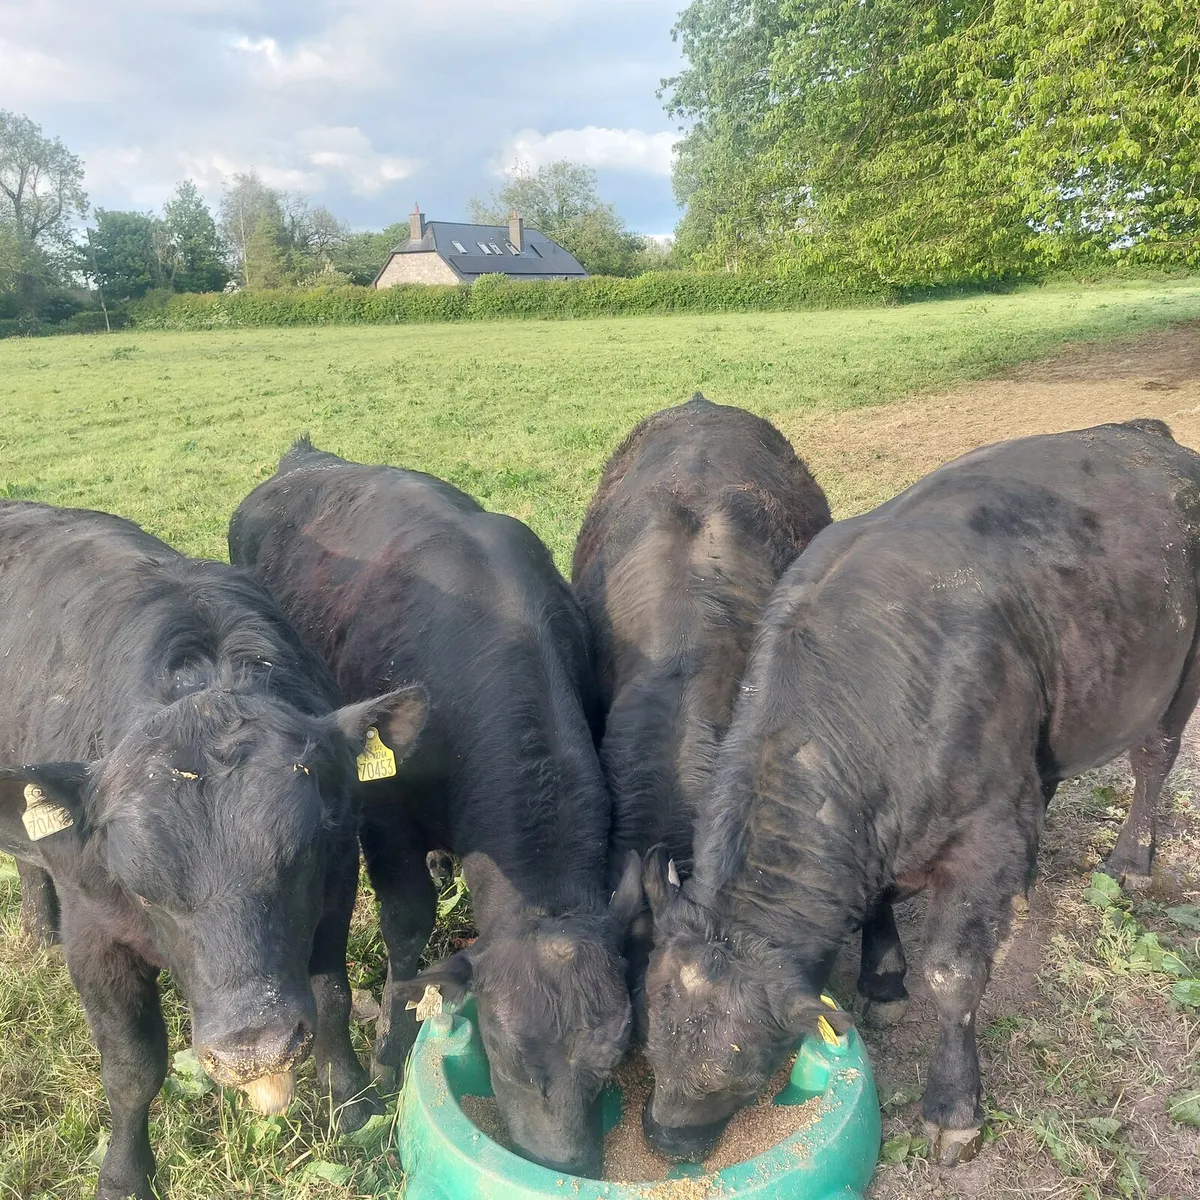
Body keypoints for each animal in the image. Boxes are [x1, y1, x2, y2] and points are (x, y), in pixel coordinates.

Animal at [0, 501, 426, 1200]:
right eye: (142, 886)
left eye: (300, 858)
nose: (254, 1050)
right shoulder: (94, 934)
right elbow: (132, 1064)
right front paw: (124, 1173)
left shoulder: (336, 887)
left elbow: (333, 1002)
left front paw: (353, 1105)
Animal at [228, 439, 640, 1177]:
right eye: (506, 1053)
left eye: (613, 1057)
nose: (566, 1164)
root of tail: (301, 459)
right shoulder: (384, 815)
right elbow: (407, 924)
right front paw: (388, 1057)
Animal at [639, 419, 1200, 1167]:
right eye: (649, 1036)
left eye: (739, 1068)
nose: (666, 1140)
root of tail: (1145, 433)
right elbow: (878, 906)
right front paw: (882, 979)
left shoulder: (983, 832)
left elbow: (954, 974)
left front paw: (954, 1105)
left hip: (1181, 672)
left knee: (1155, 756)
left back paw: (1133, 859)